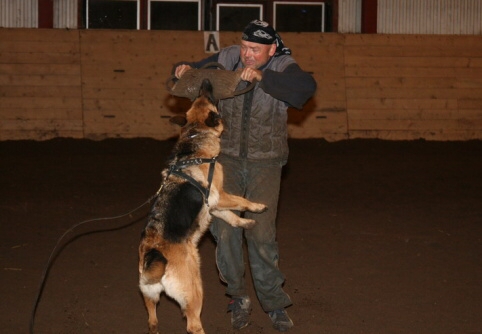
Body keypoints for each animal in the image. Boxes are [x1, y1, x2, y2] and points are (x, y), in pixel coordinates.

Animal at [139, 79, 268, 334]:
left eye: (202, 95)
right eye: (208, 98)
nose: (206, 81)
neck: (195, 134)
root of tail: (154, 252)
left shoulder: (213, 204)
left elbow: (231, 216)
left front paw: (246, 222)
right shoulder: (219, 196)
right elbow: (241, 201)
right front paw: (257, 207)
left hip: (149, 296)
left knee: (152, 319)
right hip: (195, 290)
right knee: (193, 324)